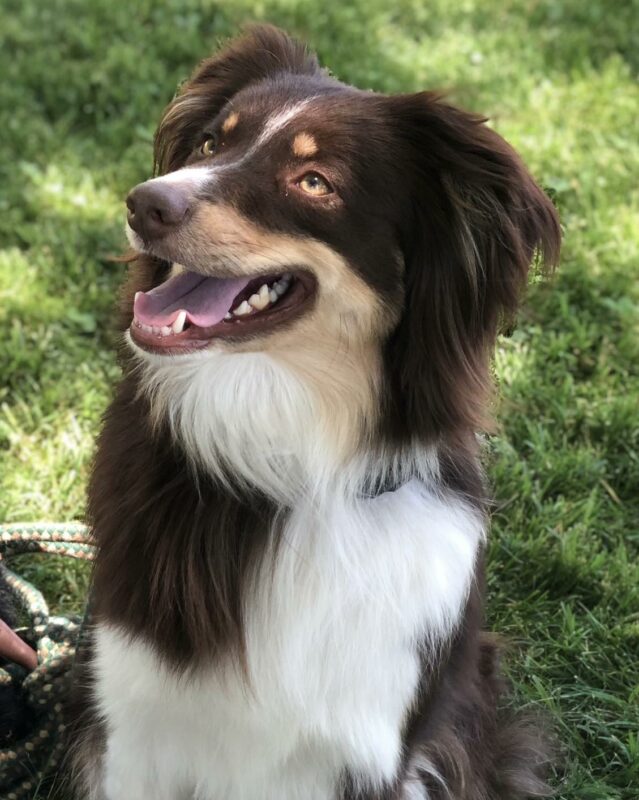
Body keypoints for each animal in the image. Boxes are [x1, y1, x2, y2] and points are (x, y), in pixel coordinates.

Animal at [74, 25, 560, 800]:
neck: (287, 458)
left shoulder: (367, 748)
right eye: (210, 143)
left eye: (313, 182)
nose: (143, 203)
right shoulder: (131, 725)